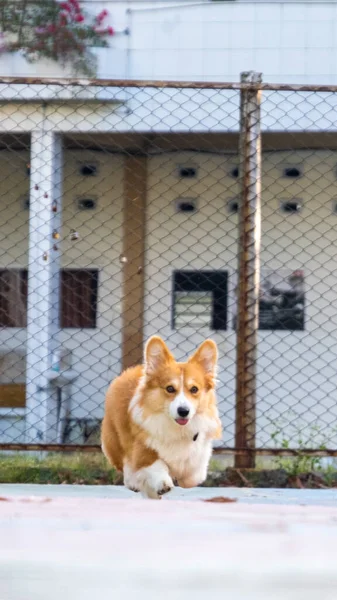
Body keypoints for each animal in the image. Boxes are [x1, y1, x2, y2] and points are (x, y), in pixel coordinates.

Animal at [101, 336, 222, 500]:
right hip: (114, 441)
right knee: (127, 464)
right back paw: (134, 482)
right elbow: (156, 465)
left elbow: (193, 476)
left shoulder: (200, 452)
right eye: (170, 388)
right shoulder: (144, 448)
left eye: (194, 389)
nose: (183, 411)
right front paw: (163, 484)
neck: (177, 428)